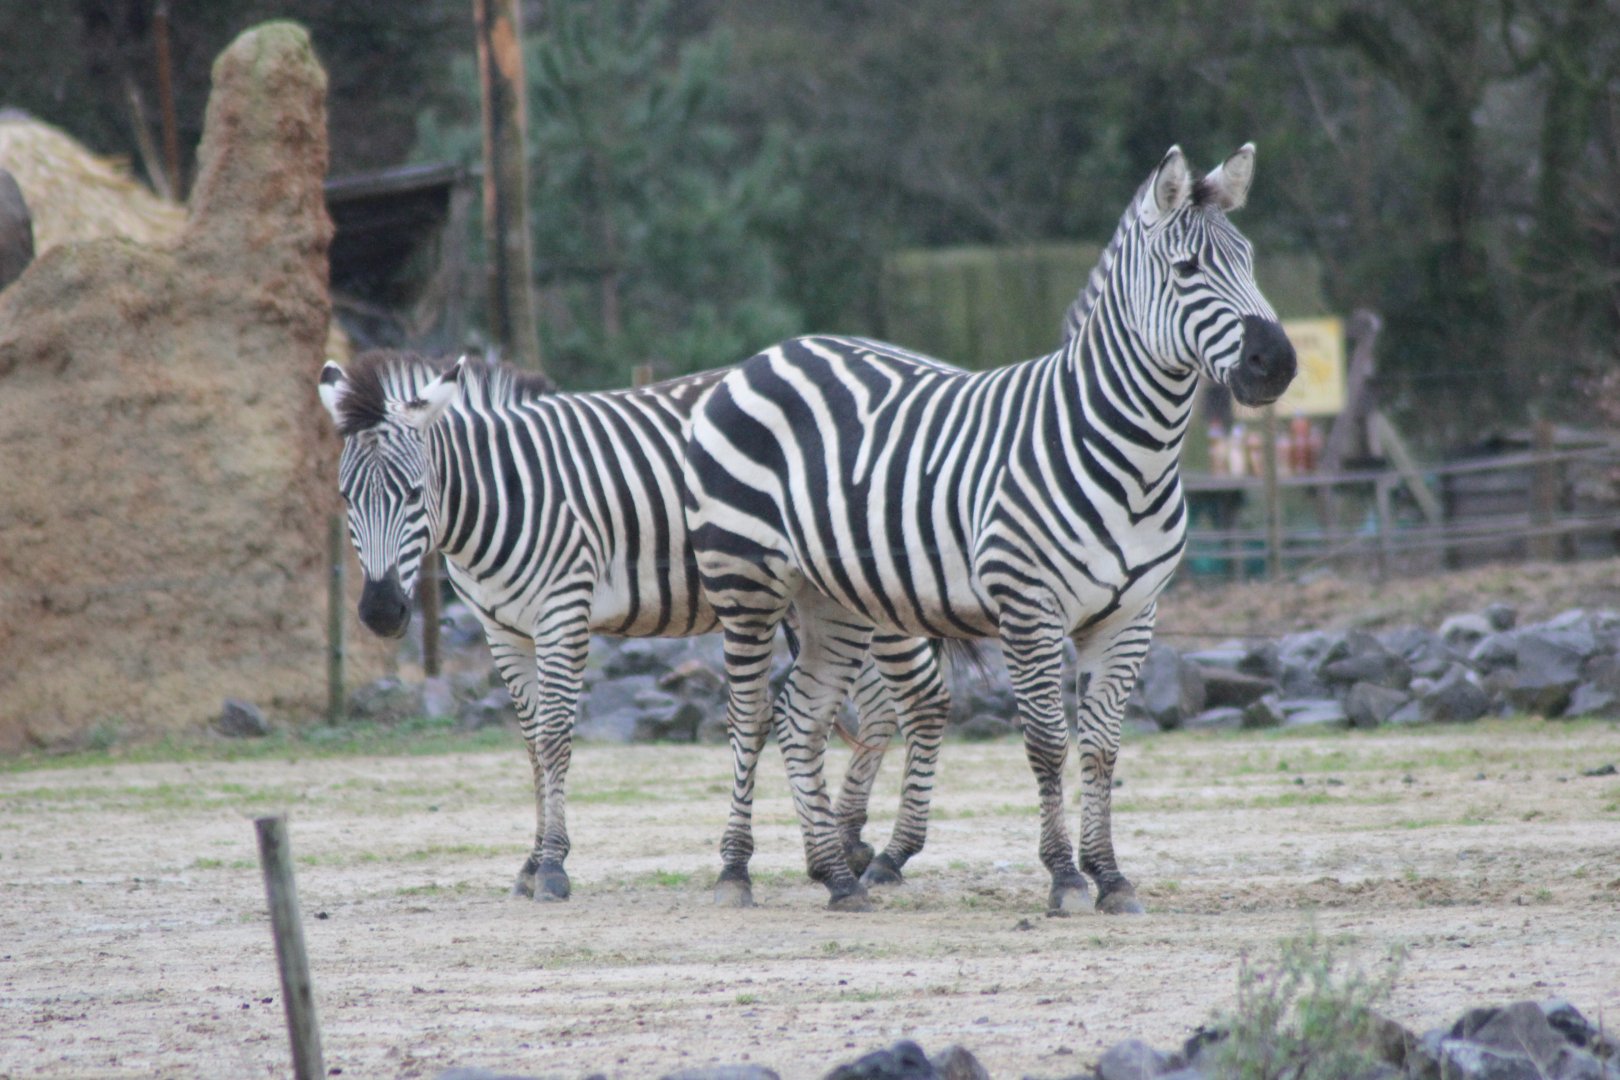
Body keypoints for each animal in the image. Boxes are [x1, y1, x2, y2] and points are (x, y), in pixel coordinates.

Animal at [316, 351, 953, 904]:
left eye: (413, 493)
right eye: (345, 497)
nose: (380, 612)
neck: (503, 494)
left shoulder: (563, 612)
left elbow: (555, 737)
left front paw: (552, 865)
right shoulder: (504, 631)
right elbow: (531, 745)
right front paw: (530, 863)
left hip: (875, 584)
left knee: (924, 699)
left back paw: (891, 854)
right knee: (877, 707)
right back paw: (849, 841)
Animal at [684, 144, 1297, 914]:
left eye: (1249, 260)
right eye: (1187, 269)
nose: (1278, 363)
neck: (1129, 452)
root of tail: (769, 355)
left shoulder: (1132, 615)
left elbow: (1102, 748)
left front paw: (1111, 877)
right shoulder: (1028, 607)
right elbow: (1046, 743)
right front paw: (1065, 877)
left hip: (830, 597)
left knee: (801, 715)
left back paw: (837, 876)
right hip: (744, 579)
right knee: (750, 714)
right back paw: (736, 870)